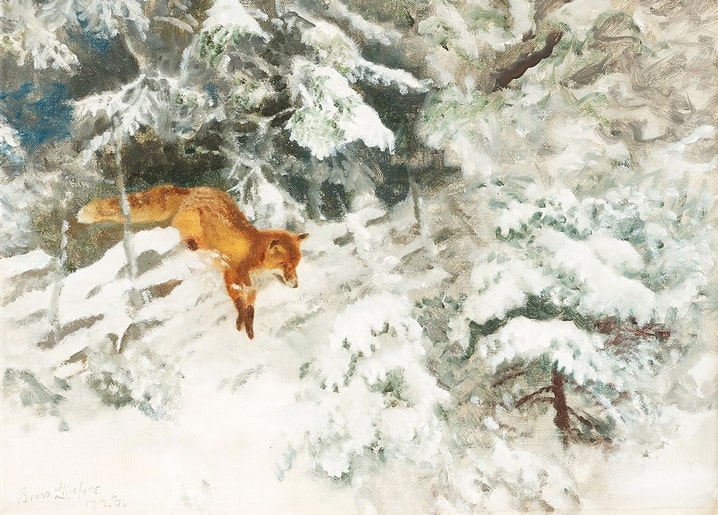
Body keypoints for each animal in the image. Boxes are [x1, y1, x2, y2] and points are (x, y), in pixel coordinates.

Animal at [77, 184, 308, 339]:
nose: (296, 285)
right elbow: (240, 302)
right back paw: (191, 244)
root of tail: (193, 189)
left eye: (295, 266)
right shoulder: (232, 275)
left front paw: (247, 323)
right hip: (191, 224)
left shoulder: (247, 284)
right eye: (285, 265)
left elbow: (250, 302)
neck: (251, 252)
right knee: (183, 232)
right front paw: (243, 322)